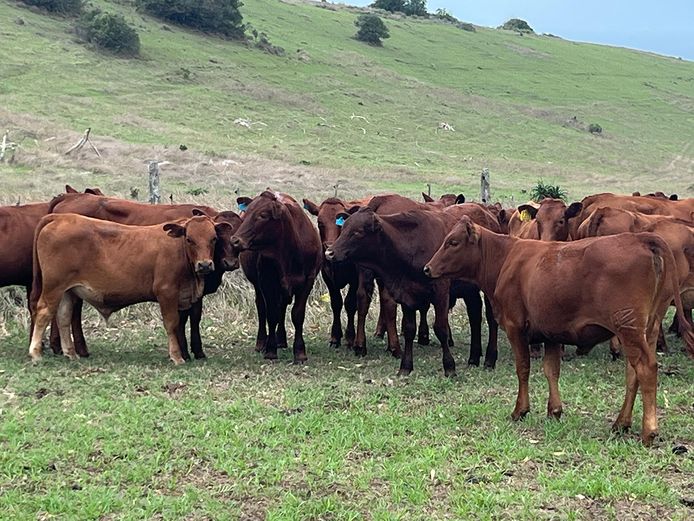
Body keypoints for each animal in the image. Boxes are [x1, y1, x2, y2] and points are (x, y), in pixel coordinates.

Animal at [48, 194, 231, 359]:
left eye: (214, 238)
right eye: (189, 239)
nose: (205, 265)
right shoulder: (173, 292)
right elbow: (180, 321)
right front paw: (184, 354)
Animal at [230, 191, 322, 363]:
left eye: (263, 215)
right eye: (247, 212)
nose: (234, 240)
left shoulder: (307, 281)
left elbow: (297, 315)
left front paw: (300, 352)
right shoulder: (267, 282)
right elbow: (271, 314)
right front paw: (270, 350)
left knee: (282, 307)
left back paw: (281, 340)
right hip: (258, 285)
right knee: (262, 308)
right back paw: (262, 343)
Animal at [424, 217, 694, 445]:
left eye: (453, 242)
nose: (427, 268)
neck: (506, 259)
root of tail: (640, 238)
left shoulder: (514, 326)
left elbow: (523, 368)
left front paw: (520, 410)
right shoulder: (551, 332)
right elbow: (551, 370)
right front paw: (554, 410)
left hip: (629, 328)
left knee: (646, 369)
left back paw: (649, 431)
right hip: (647, 328)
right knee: (632, 373)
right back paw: (621, 423)